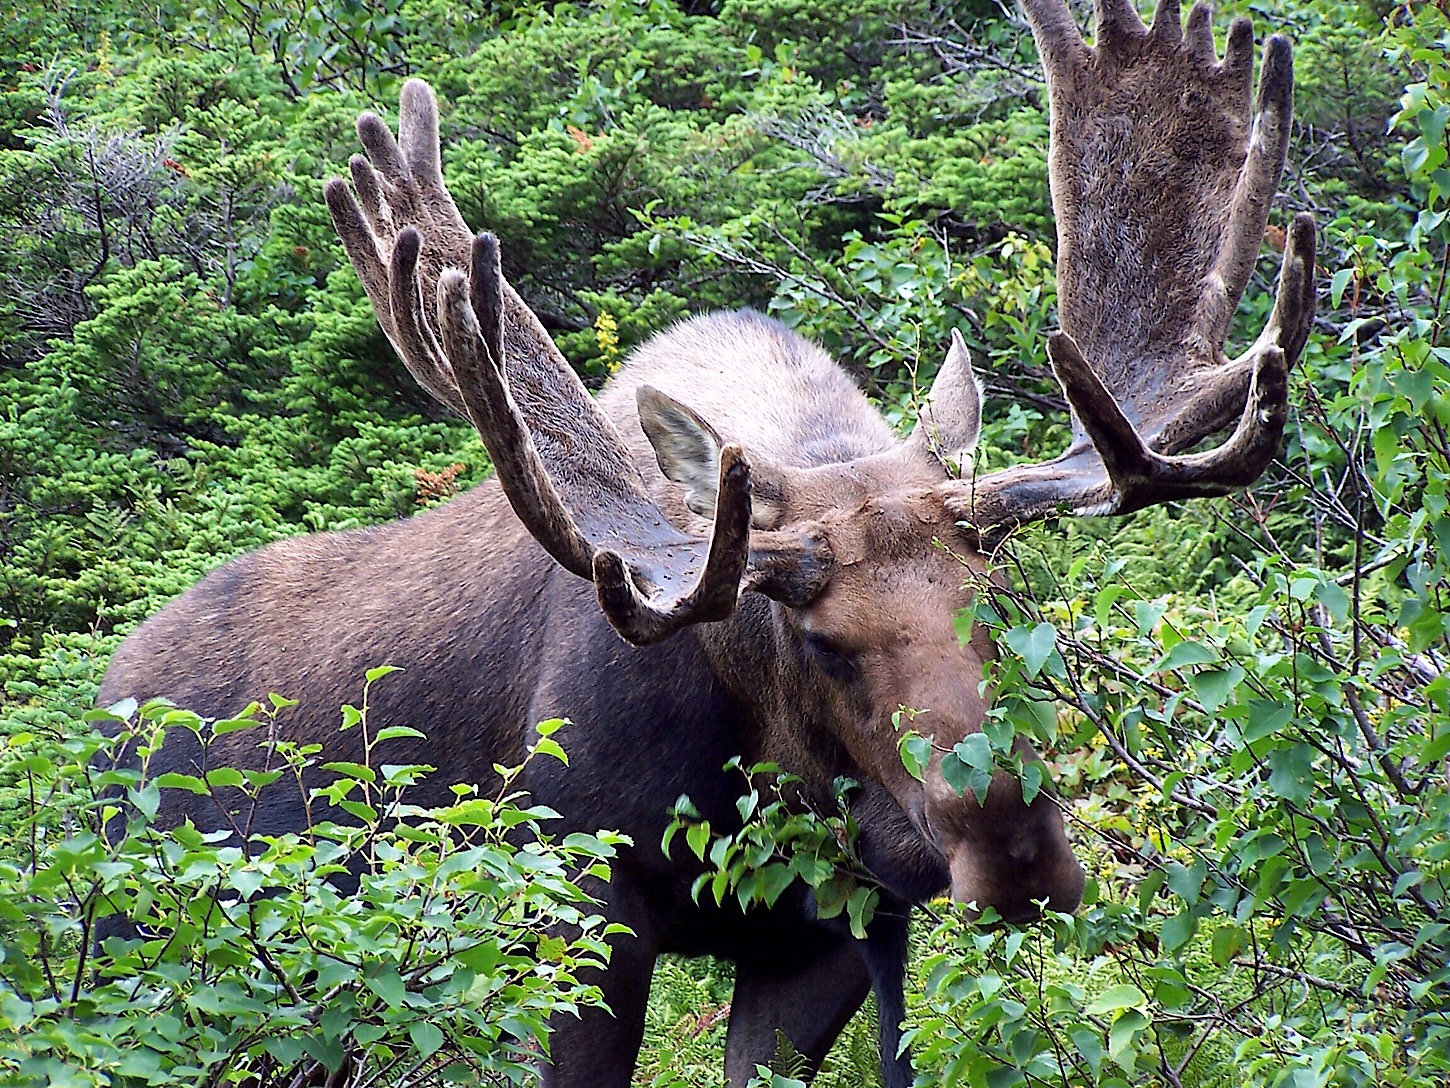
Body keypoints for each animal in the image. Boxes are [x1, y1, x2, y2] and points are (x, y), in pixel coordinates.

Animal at [102, 0, 1316, 1085]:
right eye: (819, 640)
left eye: (1004, 602)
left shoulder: (821, 935)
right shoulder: (574, 901)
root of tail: (103, 695)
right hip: (158, 946)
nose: (1013, 851)